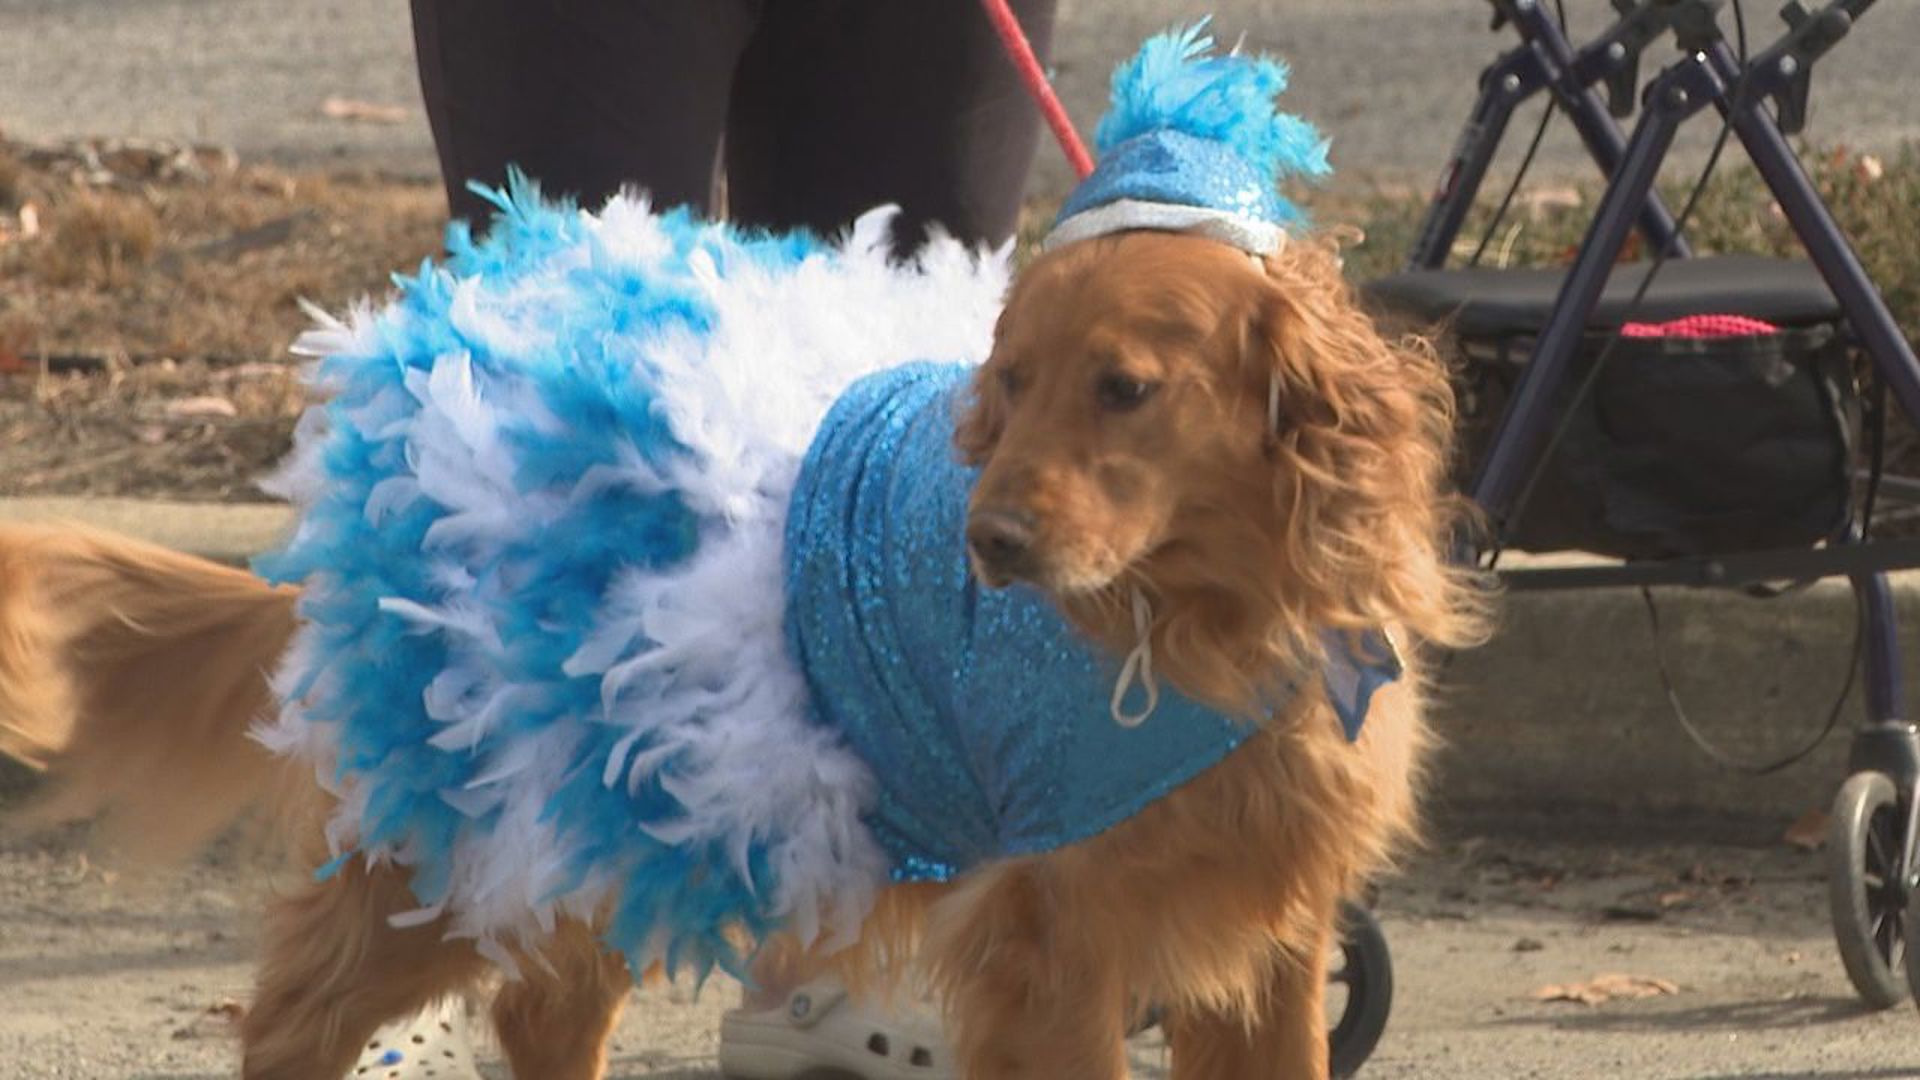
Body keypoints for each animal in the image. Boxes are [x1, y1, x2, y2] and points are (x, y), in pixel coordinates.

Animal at [0, 219, 1474, 1076]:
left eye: (1126, 388)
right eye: (1006, 382)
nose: (986, 542)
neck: (1203, 623)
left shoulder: (1271, 940)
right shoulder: (1057, 948)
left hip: (612, 823)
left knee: (541, 1012)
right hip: (471, 835)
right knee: (300, 1009)